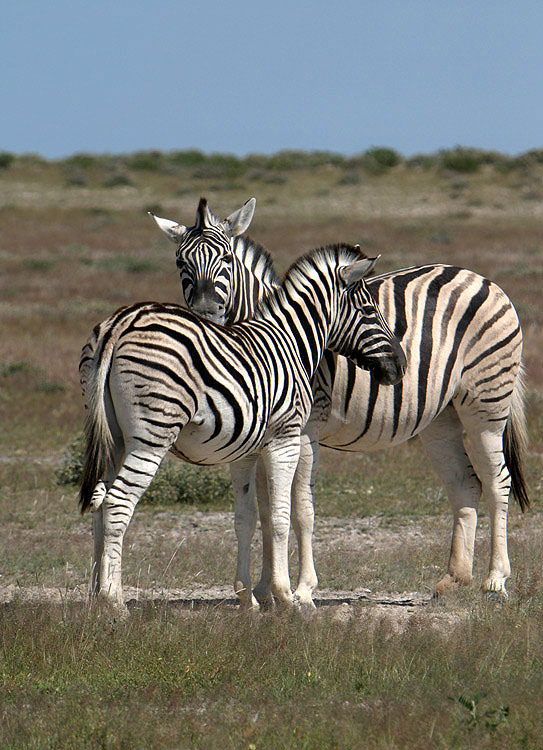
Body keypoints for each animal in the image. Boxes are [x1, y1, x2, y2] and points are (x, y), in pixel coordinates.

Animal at [78, 241, 406, 612]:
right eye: (368, 309)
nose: (400, 366)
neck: (292, 341)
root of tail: (120, 323)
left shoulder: (245, 451)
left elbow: (246, 519)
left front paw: (247, 599)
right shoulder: (285, 438)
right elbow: (280, 516)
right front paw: (286, 597)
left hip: (114, 436)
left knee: (98, 503)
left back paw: (95, 597)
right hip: (152, 434)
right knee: (117, 503)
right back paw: (115, 601)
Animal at [154, 198, 532, 604]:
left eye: (225, 258)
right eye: (180, 262)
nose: (204, 316)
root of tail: (480, 277)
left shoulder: (304, 430)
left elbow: (300, 508)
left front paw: (302, 589)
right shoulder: (262, 437)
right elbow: (268, 510)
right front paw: (265, 589)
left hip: (487, 403)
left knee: (498, 481)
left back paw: (495, 580)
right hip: (440, 417)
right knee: (466, 483)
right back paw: (453, 579)